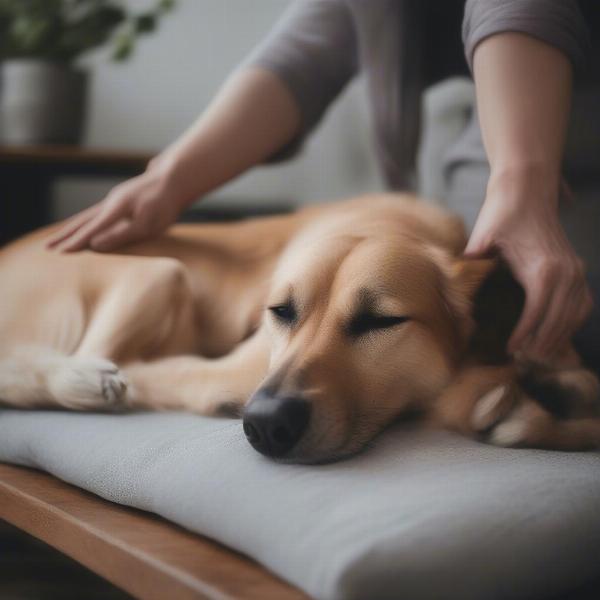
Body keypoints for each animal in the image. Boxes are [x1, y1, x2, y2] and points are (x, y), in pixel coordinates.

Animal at [1, 195, 600, 462]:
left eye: (382, 321)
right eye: (280, 311)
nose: (266, 425)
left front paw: (547, 394)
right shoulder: (233, 370)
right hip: (162, 273)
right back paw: (87, 381)